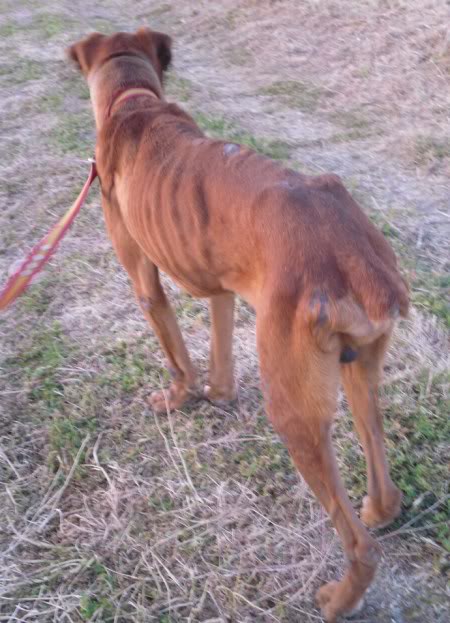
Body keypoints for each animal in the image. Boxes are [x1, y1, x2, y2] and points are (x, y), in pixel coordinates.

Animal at [68, 29, 410, 623]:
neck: (134, 102)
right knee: (381, 482)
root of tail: (357, 256)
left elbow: (178, 358)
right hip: (359, 371)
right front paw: (218, 395)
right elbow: (219, 354)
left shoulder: (145, 281)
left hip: (294, 409)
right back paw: (376, 506)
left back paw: (338, 598)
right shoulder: (223, 292)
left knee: (360, 545)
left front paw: (176, 399)